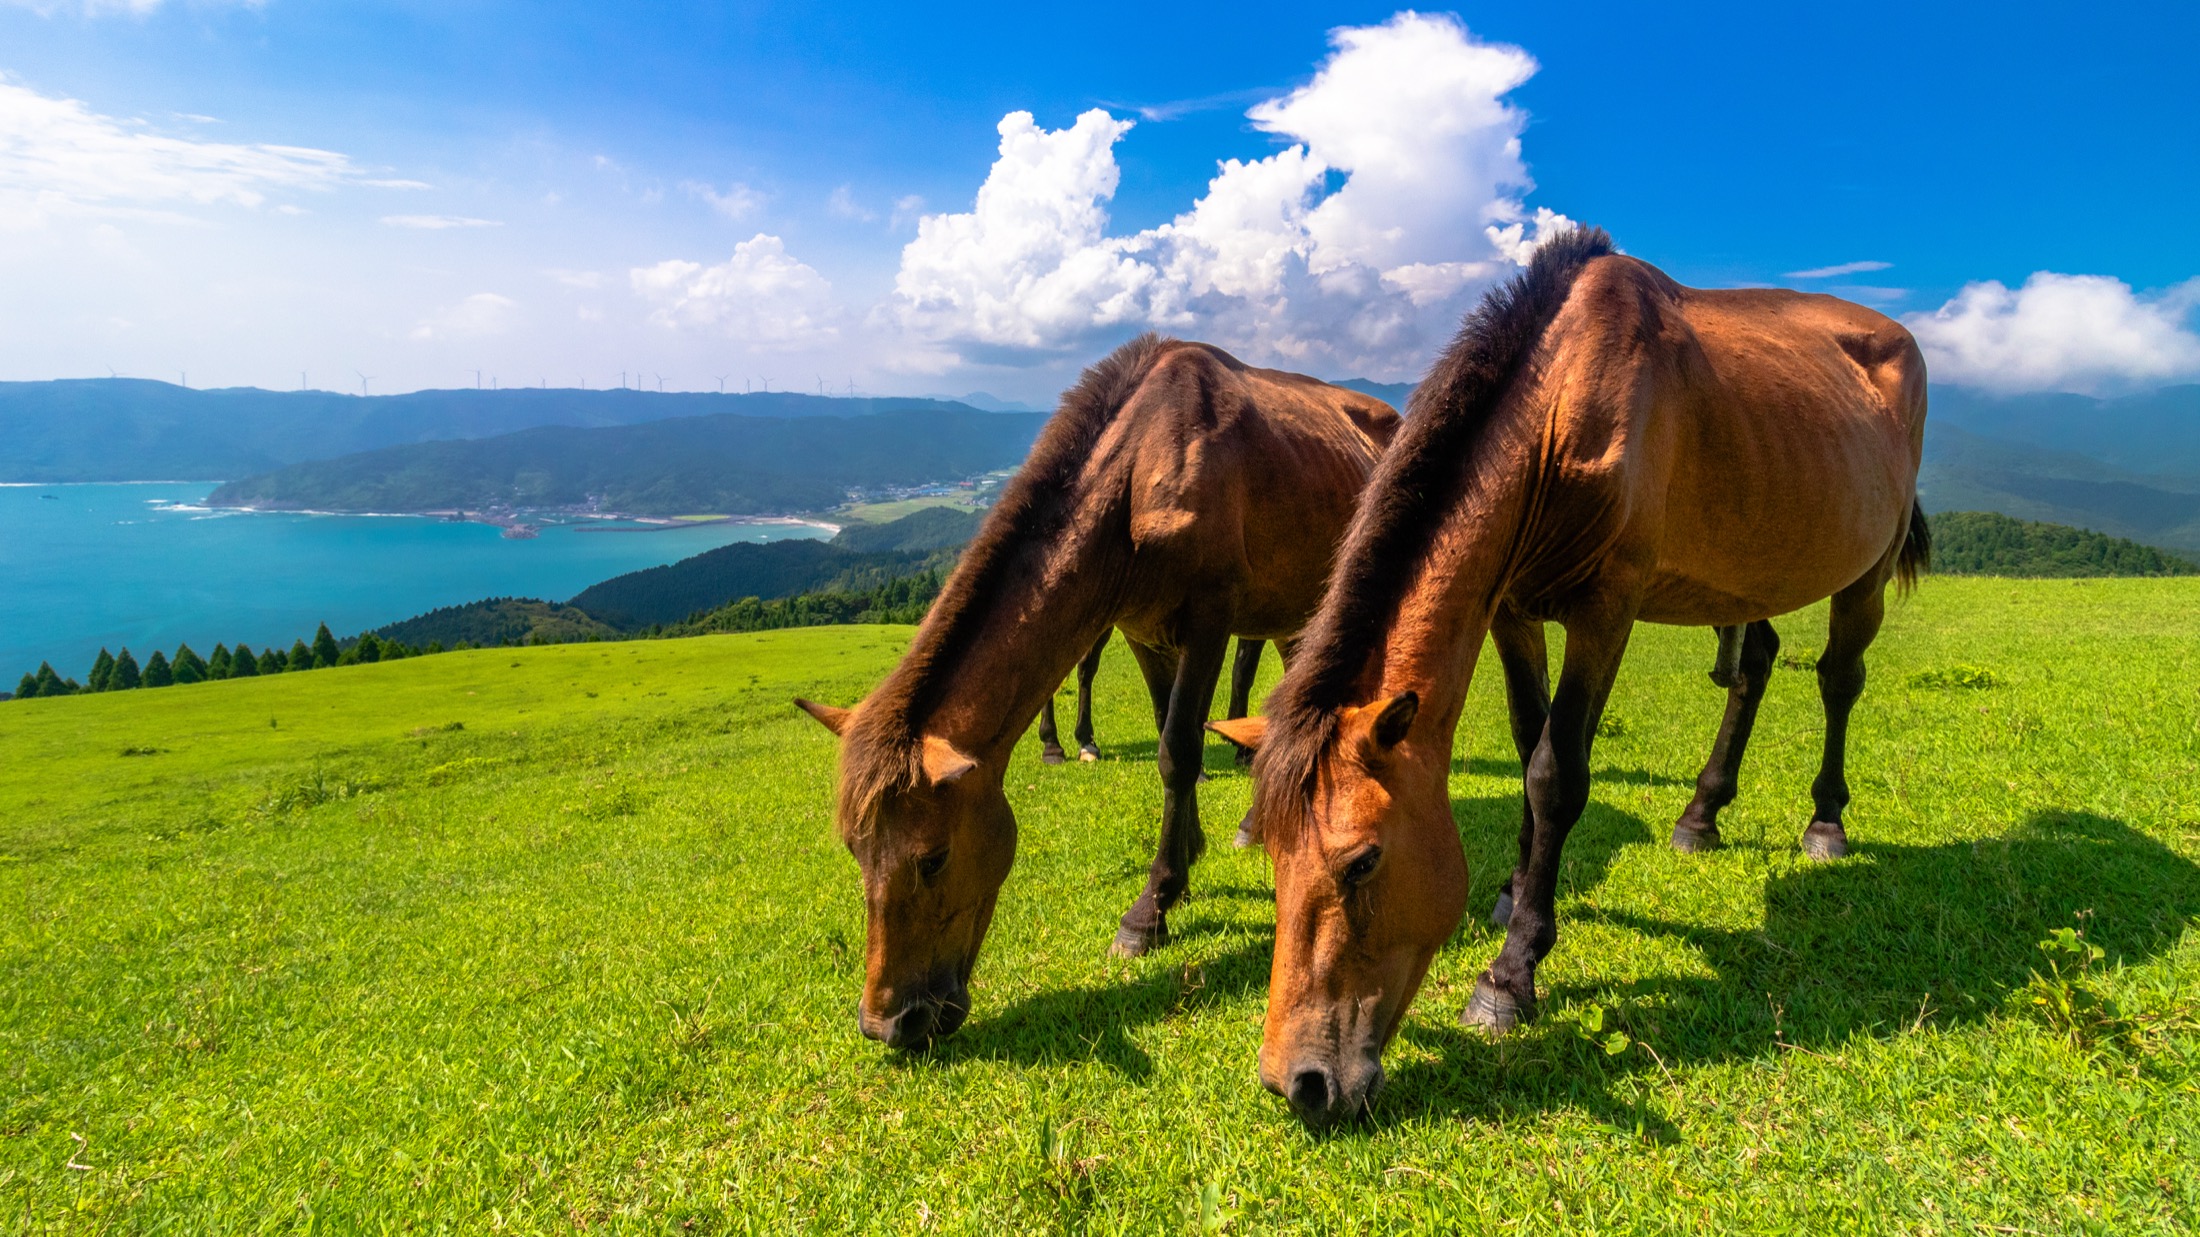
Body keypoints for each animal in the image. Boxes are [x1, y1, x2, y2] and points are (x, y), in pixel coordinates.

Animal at [1215, 227, 1929, 1125]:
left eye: (1363, 862)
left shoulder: (1606, 606)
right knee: (1755, 665)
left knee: (1839, 679)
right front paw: (1515, 890)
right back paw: (1701, 814)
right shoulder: (1511, 608)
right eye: (1272, 856)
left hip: (1865, 571)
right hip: (1749, 568)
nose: (1298, 1081)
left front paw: (1510, 975)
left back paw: (1825, 821)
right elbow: (1527, 748)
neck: (1559, 408)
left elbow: (1557, 774)